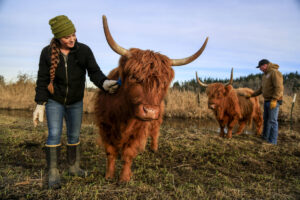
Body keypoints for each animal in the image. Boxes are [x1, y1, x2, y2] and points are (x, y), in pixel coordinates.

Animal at [95, 14, 209, 182]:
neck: (123, 115)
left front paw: (124, 178)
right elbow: (110, 152)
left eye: (163, 83)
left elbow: (128, 153)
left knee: (154, 132)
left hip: (157, 119)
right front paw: (109, 176)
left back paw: (153, 148)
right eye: (134, 77)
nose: (149, 111)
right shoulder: (105, 126)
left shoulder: (138, 129)